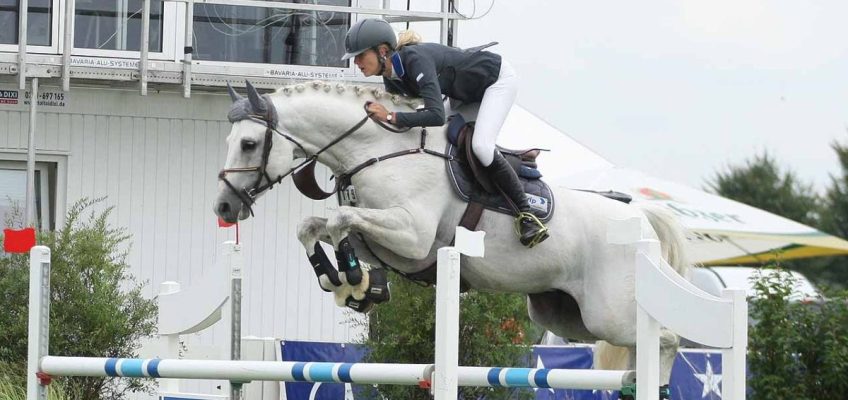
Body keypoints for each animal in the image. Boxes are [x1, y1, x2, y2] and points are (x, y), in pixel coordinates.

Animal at [212, 80, 688, 384]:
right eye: (229, 141)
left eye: (249, 144)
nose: (223, 207)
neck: (379, 150)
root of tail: (643, 219)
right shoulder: (389, 237)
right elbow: (316, 225)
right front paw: (351, 284)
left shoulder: (413, 235)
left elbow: (340, 220)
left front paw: (354, 282)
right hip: (565, 316)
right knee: (639, 346)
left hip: (608, 313)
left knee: (664, 338)